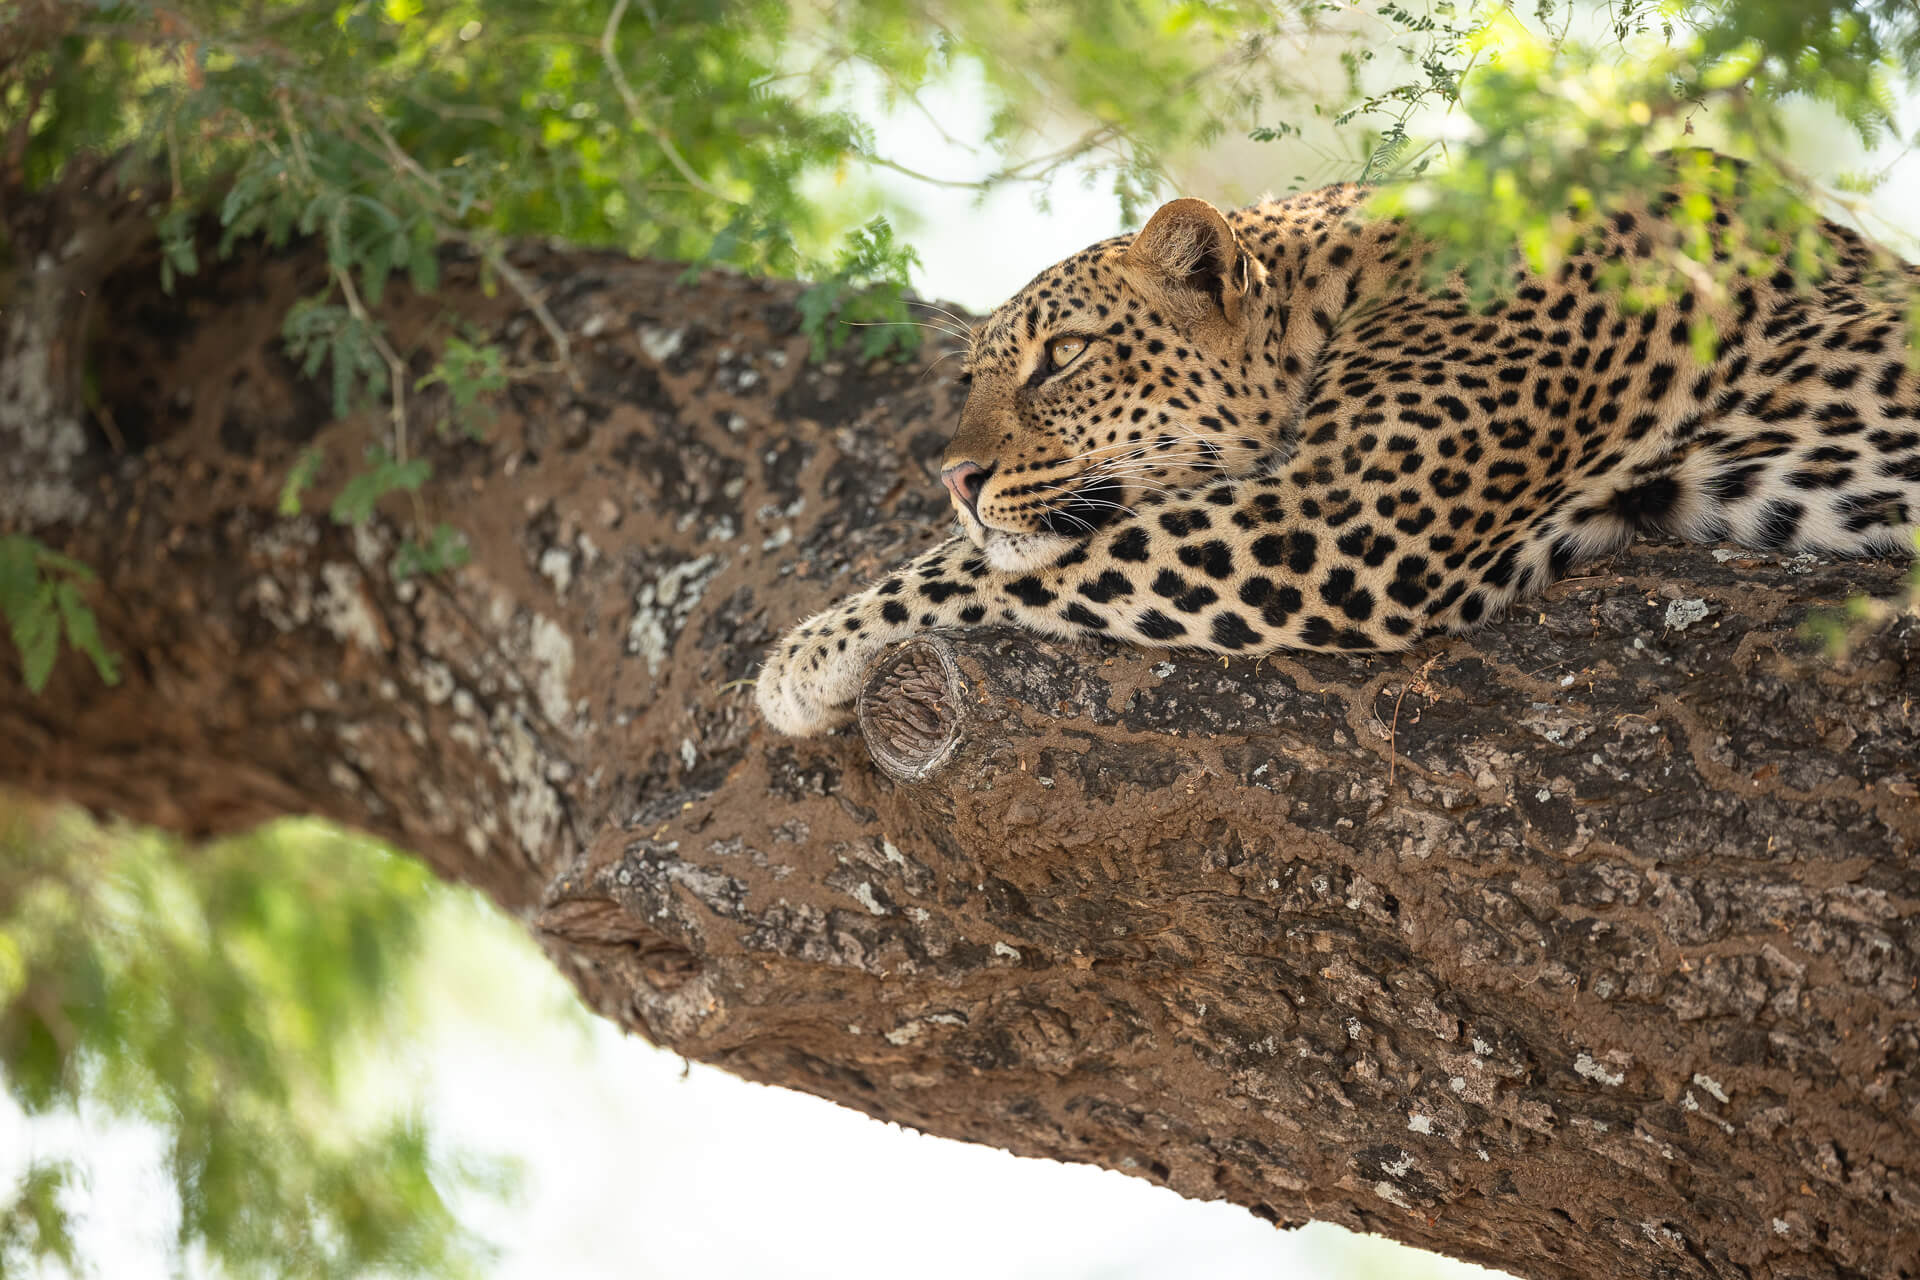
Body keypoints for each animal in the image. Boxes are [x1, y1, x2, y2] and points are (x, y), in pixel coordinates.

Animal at [756, 157, 1920, 740]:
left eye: (1066, 356)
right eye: (975, 377)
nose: (953, 478)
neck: (1349, 280)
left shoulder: (1339, 519)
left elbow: (1002, 567)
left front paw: (802, 657)